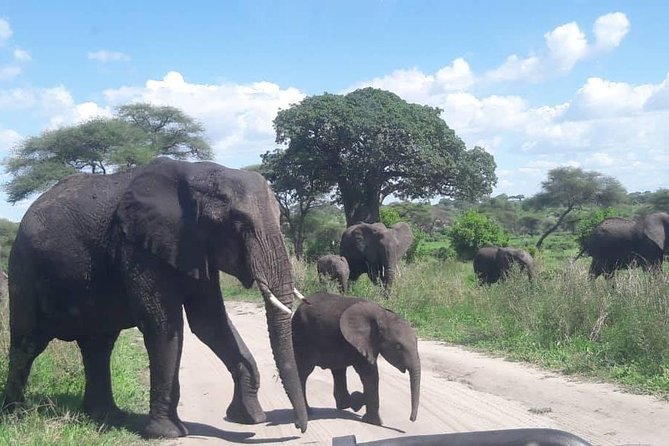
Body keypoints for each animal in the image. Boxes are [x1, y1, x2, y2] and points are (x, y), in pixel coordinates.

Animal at [1, 158, 308, 438]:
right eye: (238, 225)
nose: (298, 427)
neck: (199, 174)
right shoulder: (139, 250)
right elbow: (163, 328)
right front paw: (168, 433)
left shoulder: (196, 249)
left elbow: (210, 323)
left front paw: (248, 418)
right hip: (23, 268)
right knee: (28, 343)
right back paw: (15, 414)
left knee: (98, 345)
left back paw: (106, 416)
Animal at [291, 292, 420, 426]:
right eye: (398, 346)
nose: (411, 419)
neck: (383, 315)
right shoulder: (360, 342)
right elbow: (369, 374)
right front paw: (375, 422)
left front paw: (360, 405)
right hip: (302, 334)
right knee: (304, 372)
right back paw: (309, 412)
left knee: (338, 370)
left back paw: (346, 404)